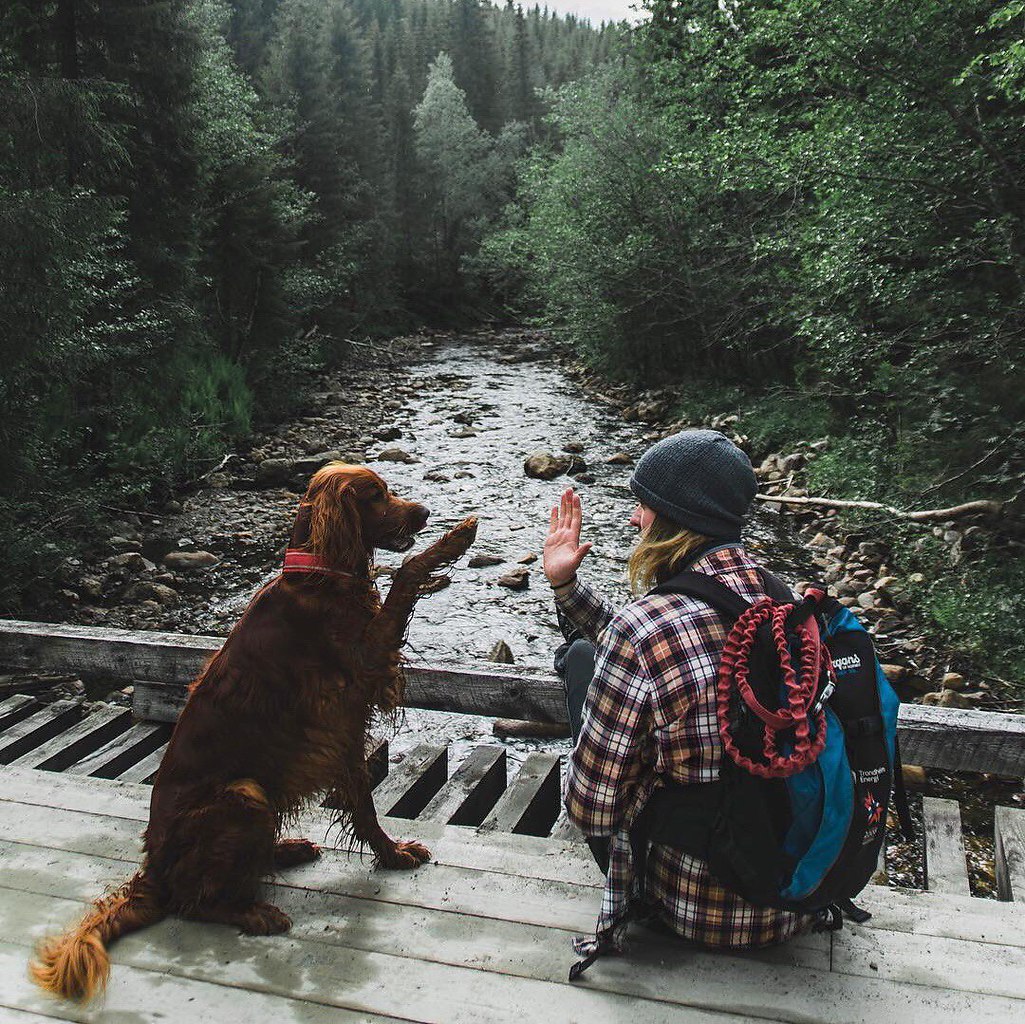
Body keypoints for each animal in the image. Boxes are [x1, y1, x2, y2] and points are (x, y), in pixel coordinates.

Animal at [32, 463, 477, 1000]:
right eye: (375, 495)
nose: (425, 512)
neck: (320, 575)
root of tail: (153, 871)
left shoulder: (344, 729)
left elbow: (365, 806)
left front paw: (391, 854)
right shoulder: (365, 662)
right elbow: (407, 571)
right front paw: (453, 540)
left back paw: (283, 850)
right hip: (244, 794)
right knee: (193, 900)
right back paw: (255, 911)